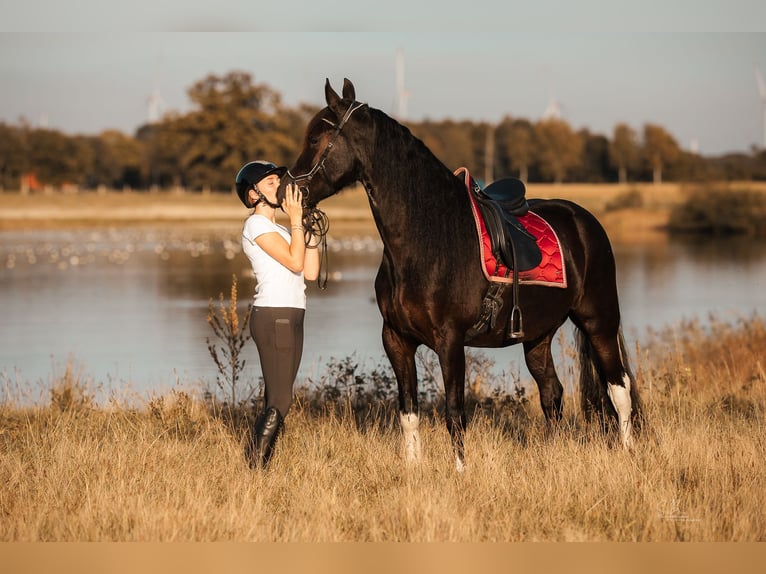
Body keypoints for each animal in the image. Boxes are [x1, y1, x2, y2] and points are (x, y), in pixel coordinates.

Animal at [282, 79, 640, 470]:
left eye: (316, 138)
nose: (287, 189)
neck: (429, 238)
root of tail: (585, 220)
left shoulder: (450, 342)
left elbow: (454, 412)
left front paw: (459, 471)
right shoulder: (396, 340)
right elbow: (409, 412)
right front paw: (413, 468)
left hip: (599, 321)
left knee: (619, 388)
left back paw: (627, 453)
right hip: (538, 335)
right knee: (552, 393)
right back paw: (552, 456)